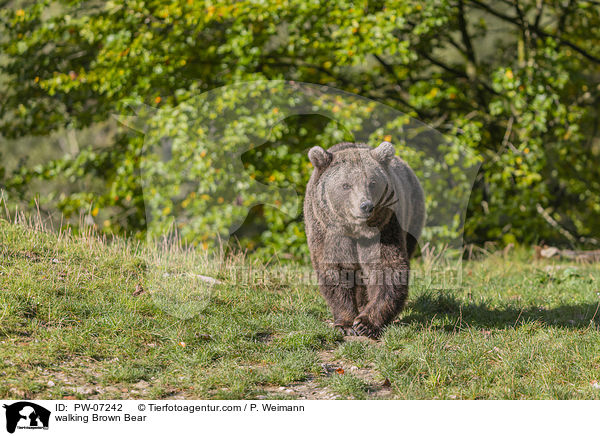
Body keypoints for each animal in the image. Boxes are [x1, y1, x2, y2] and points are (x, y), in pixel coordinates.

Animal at [304, 141, 426, 338]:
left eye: (372, 182)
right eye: (346, 185)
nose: (366, 206)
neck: (355, 230)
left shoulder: (385, 227)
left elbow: (387, 269)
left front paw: (365, 323)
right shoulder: (327, 232)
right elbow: (335, 270)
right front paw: (346, 323)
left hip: (413, 214)